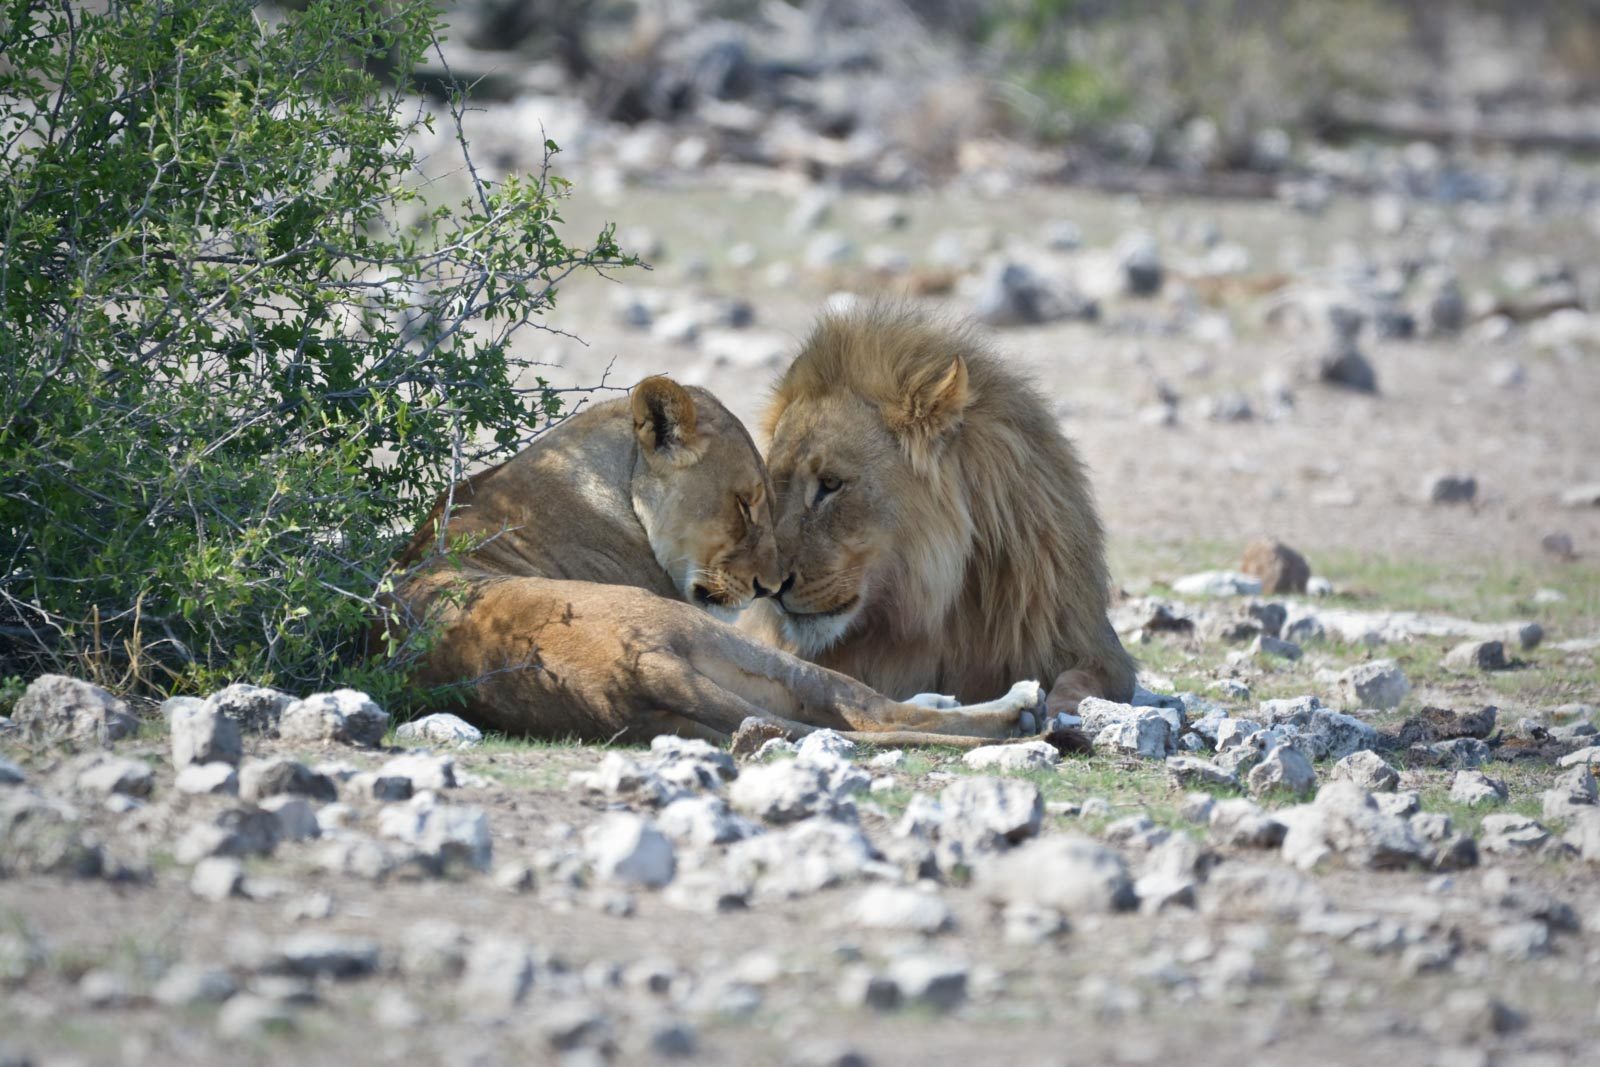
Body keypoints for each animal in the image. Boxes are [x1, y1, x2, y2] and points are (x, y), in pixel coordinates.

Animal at [382, 375, 1046, 745]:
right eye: (746, 505)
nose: (770, 587)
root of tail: (624, 671)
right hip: (727, 644)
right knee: (862, 708)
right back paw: (1017, 709)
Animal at [750, 304, 1138, 716]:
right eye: (773, 486)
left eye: (831, 484)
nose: (770, 589)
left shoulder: (1094, 648)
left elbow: (1083, 679)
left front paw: (1057, 706)